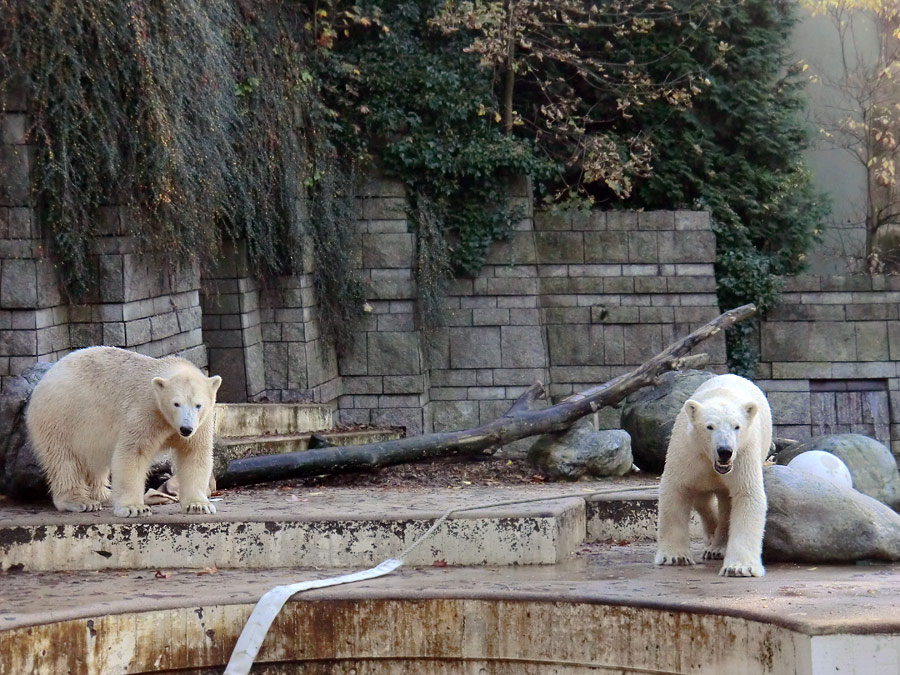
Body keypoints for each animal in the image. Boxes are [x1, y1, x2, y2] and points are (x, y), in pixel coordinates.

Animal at [25, 346, 222, 520]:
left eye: (198, 405)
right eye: (176, 403)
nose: (185, 429)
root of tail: (46, 376)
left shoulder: (201, 424)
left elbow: (194, 454)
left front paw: (198, 505)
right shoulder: (144, 411)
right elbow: (133, 454)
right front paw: (134, 508)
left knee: (95, 461)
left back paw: (103, 494)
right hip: (61, 416)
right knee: (63, 460)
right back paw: (80, 501)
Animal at [652, 372, 772, 580]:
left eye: (736, 426)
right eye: (709, 427)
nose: (725, 451)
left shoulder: (744, 453)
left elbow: (747, 495)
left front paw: (739, 568)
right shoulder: (688, 451)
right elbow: (676, 489)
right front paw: (675, 557)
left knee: (726, 502)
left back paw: (718, 547)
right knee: (702, 499)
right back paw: (711, 535)